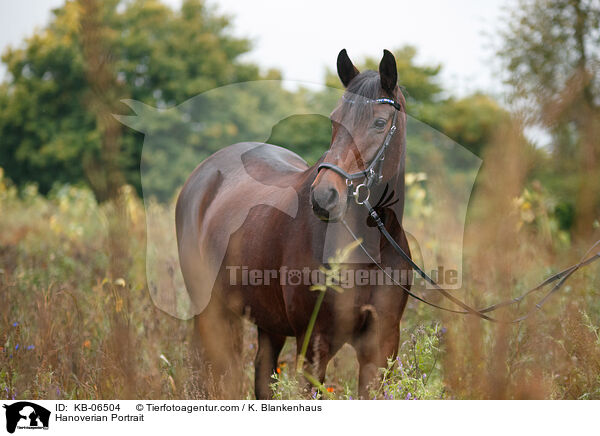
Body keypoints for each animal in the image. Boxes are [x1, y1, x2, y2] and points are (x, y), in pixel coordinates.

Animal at [176, 49, 412, 400]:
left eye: (380, 122)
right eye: (334, 119)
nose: (324, 196)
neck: (370, 249)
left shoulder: (381, 347)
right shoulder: (314, 342)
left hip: (268, 322)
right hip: (215, 313)